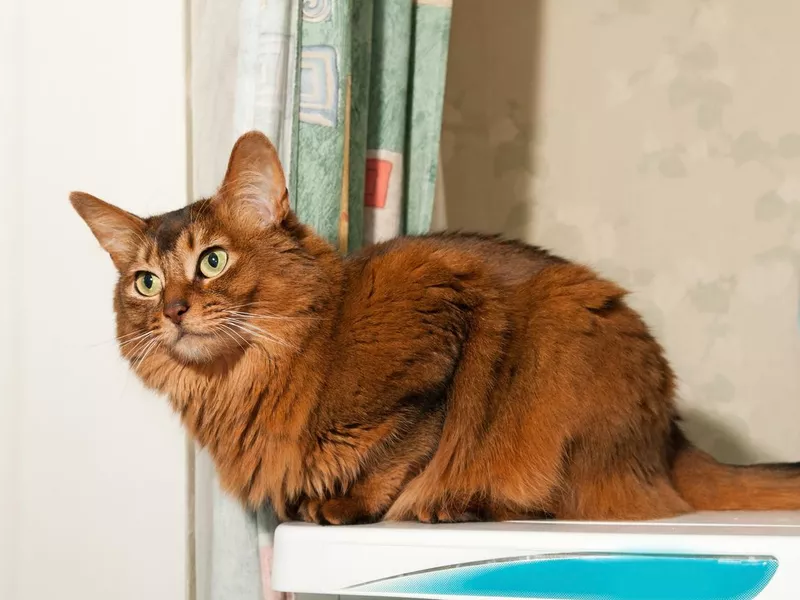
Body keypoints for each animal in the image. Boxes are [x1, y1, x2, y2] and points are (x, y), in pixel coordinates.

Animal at [69, 132, 800, 524]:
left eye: (213, 260)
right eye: (145, 282)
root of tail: (671, 437)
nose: (173, 311)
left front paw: (349, 503)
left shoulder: (445, 332)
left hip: (562, 344)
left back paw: (462, 504)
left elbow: (402, 451)